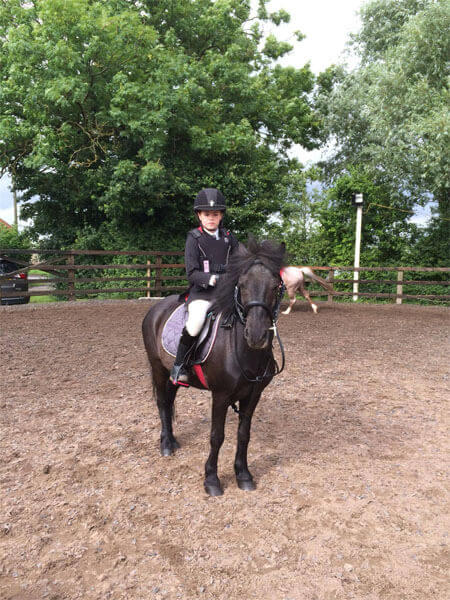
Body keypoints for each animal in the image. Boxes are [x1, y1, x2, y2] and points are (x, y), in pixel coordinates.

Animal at [142, 237, 286, 494]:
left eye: (275, 286)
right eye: (242, 285)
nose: (256, 335)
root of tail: (156, 308)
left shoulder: (253, 394)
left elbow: (243, 434)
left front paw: (243, 475)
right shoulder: (220, 395)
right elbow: (217, 436)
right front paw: (211, 480)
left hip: (172, 375)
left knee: (169, 400)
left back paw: (173, 440)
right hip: (158, 368)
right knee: (161, 403)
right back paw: (166, 444)